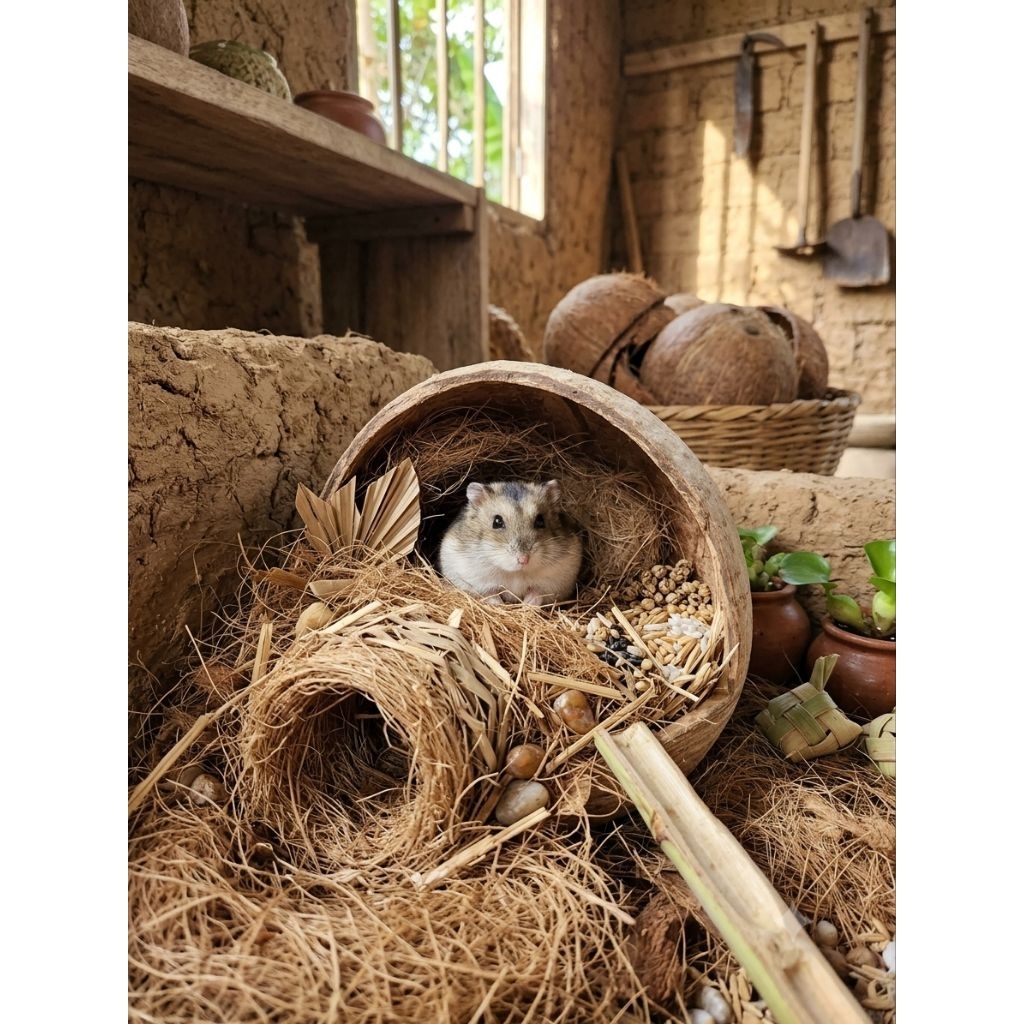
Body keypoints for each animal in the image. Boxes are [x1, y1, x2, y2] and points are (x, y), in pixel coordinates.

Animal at [438, 479, 583, 606]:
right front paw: (499, 605)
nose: (523, 560)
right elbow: (490, 594)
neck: (515, 573)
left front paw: (528, 604)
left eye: (540, 521)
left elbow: (537, 593)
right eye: (497, 522)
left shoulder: (555, 582)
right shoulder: (473, 581)